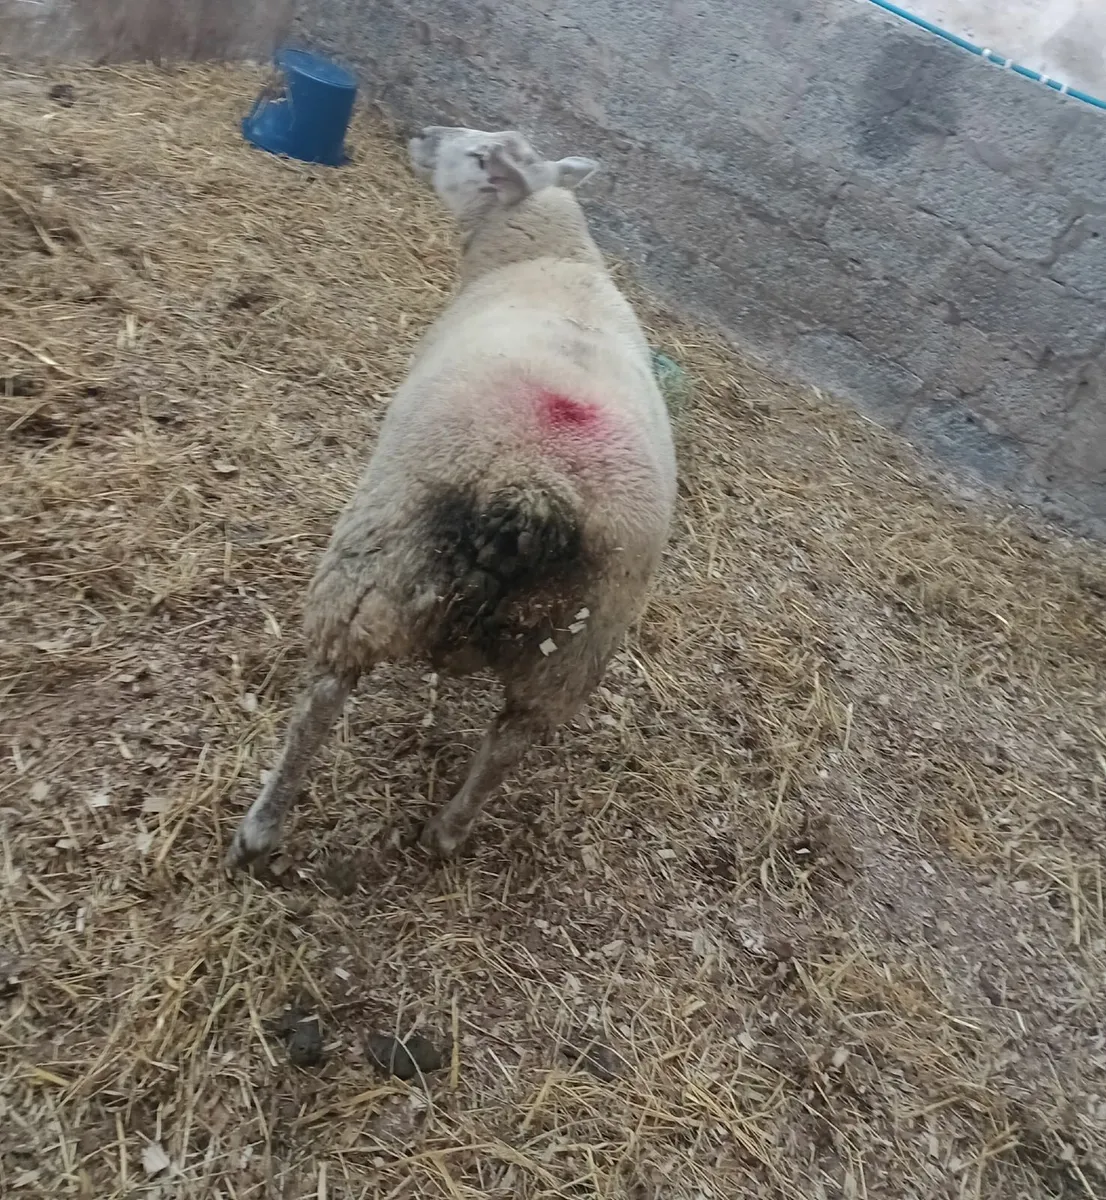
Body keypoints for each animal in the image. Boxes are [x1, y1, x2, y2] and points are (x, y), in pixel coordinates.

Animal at [225, 125, 678, 869]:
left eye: (478, 155)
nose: (425, 134)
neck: (549, 255)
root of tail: (537, 491)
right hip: (571, 652)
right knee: (507, 747)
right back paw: (445, 834)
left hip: (372, 567)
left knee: (321, 703)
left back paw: (261, 829)